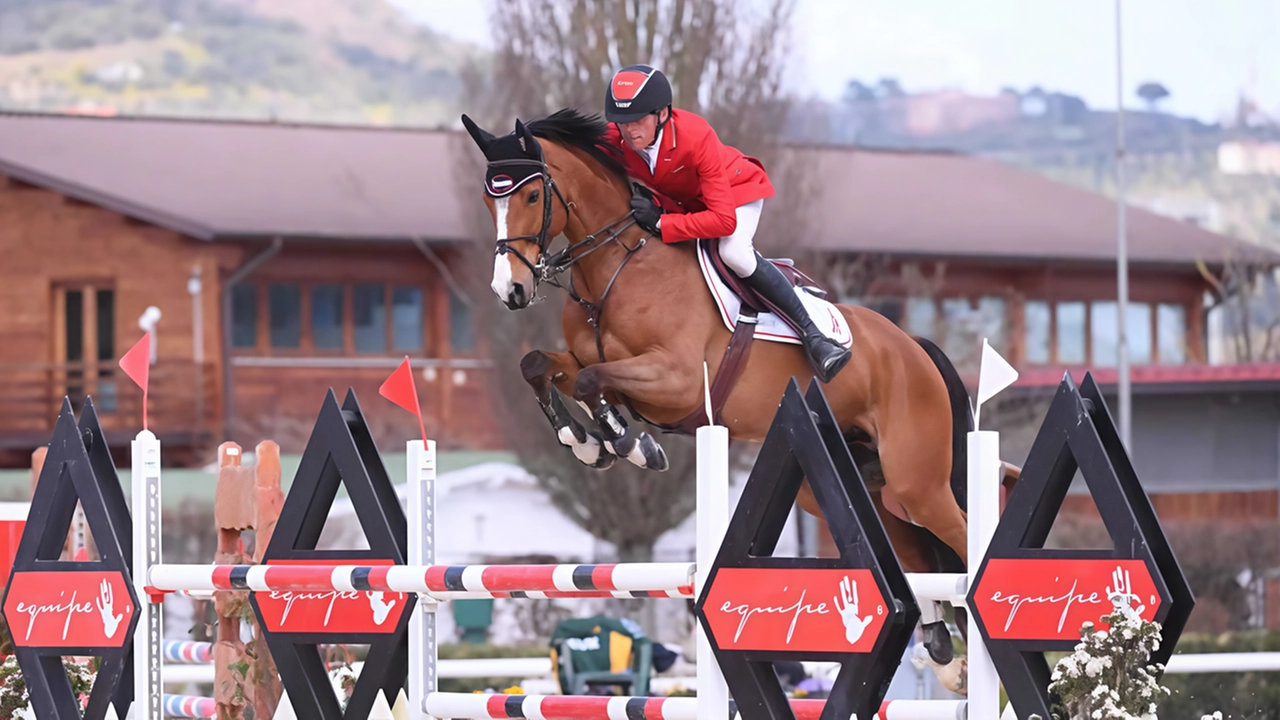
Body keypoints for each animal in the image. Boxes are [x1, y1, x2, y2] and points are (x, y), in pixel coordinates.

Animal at [460, 107, 1008, 671]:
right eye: (486, 198)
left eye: (530, 195)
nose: (511, 290)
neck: (615, 267)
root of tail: (912, 346)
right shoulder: (591, 362)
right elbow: (539, 366)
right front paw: (586, 442)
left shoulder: (676, 379)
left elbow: (597, 385)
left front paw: (630, 444)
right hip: (856, 481)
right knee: (915, 551)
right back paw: (939, 640)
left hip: (916, 481)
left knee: (961, 535)